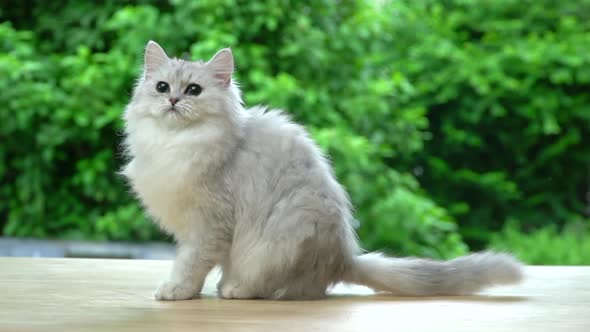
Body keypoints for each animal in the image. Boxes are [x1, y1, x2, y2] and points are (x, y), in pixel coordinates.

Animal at [121, 40, 524, 300]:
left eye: (194, 90)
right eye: (162, 87)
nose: (174, 100)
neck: (176, 145)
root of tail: (343, 258)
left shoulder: (208, 226)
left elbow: (190, 266)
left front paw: (176, 291)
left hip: (278, 243)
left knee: (271, 288)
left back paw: (234, 290)